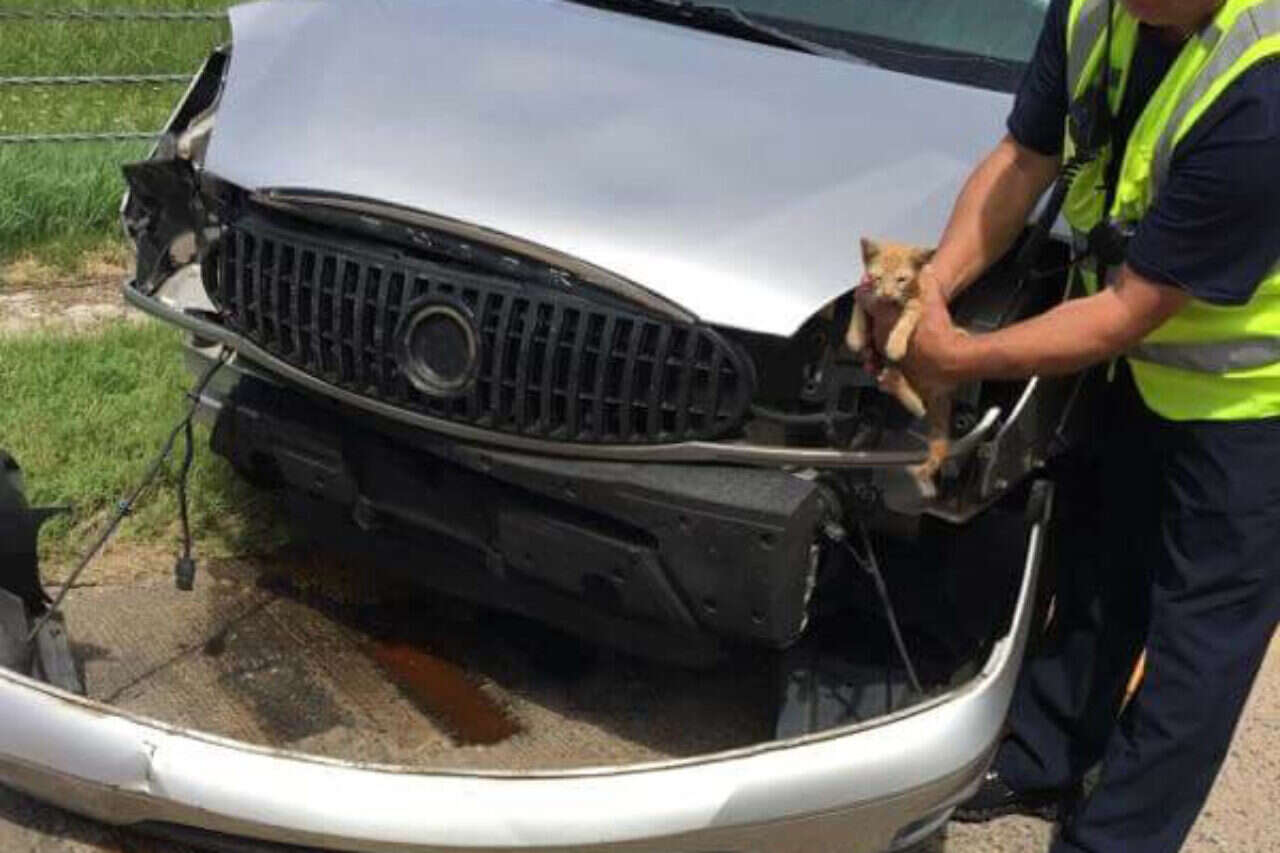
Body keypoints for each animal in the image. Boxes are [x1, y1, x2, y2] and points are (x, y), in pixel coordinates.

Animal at [845, 238, 953, 498]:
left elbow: (908, 316)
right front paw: (855, 335)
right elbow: (858, 305)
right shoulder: (864, 292)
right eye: (877, 278)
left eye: (901, 280)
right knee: (905, 390)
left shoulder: (918, 302)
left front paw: (896, 342)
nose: (886, 293)